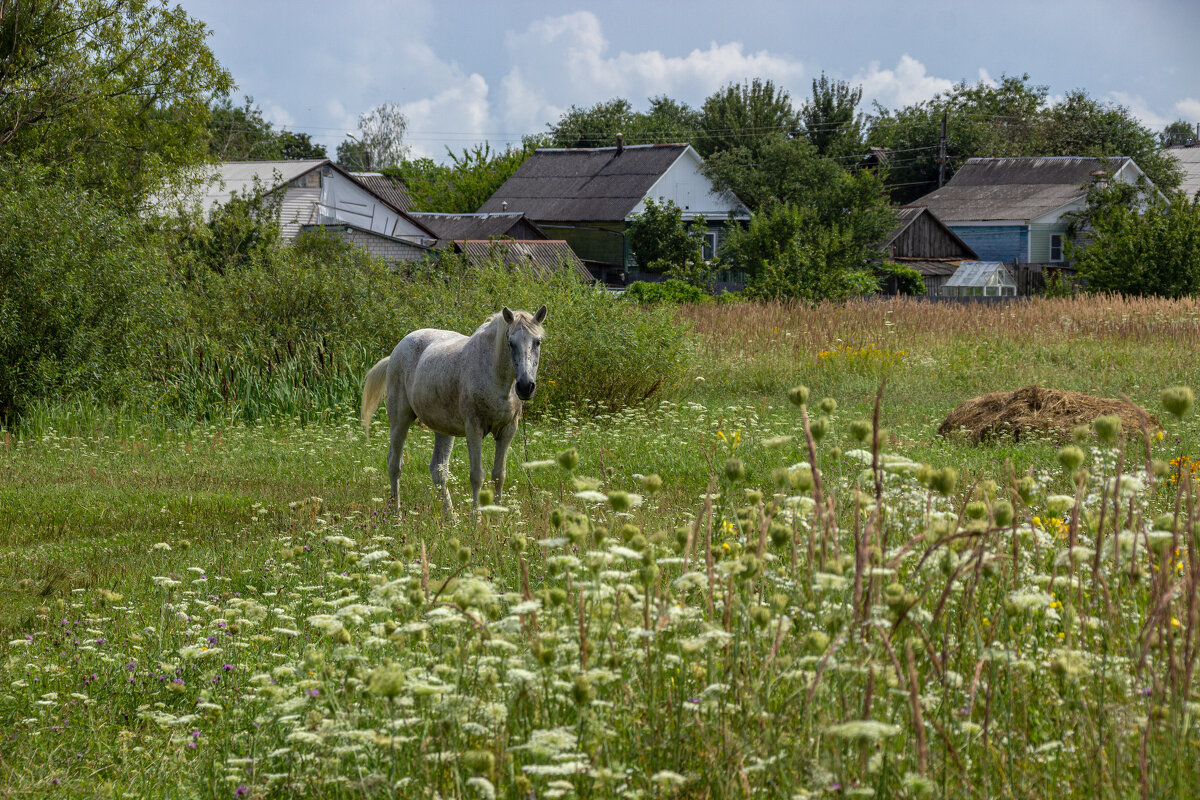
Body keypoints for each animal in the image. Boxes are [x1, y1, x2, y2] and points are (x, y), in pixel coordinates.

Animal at [355, 304, 544, 520]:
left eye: (537, 342)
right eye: (510, 343)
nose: (525, 386)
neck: (495, 376)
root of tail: (396, 351)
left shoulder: (507, 431)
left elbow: (499, 475)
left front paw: (497, 520)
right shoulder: (474, 429)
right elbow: (477, 475)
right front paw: (476, 519)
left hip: (443, 430)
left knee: (439, 470)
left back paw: (451, 518)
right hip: (399, 420)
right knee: (395, 464)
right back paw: (397, 513)